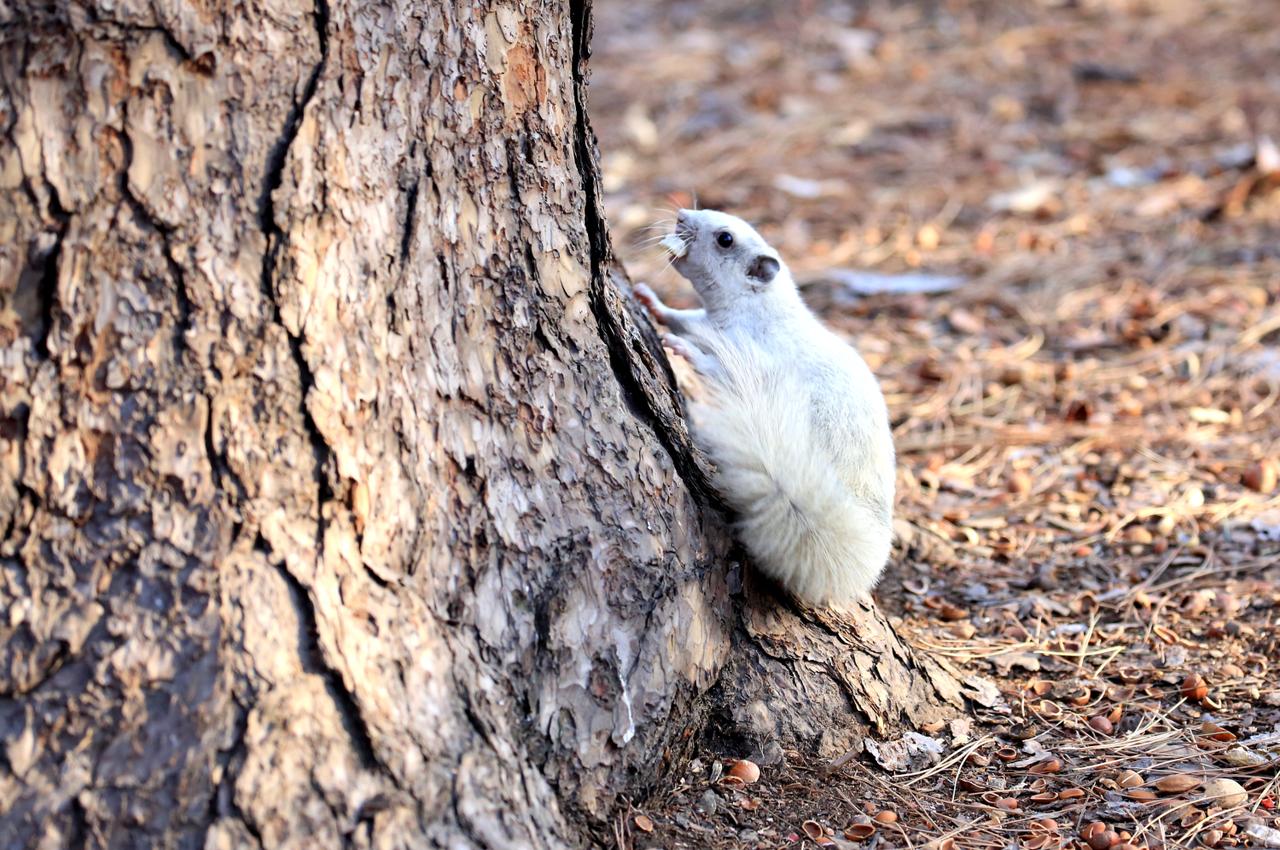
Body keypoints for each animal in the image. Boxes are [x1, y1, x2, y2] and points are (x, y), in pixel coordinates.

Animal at [634, 209, 895, 607]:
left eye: (725, 239)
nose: (680, 215)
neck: (755, 306)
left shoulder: (746, 354)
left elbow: (707, 358)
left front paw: (681, 346)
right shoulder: (707, 322)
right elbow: (683, 316)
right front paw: (650, 301)